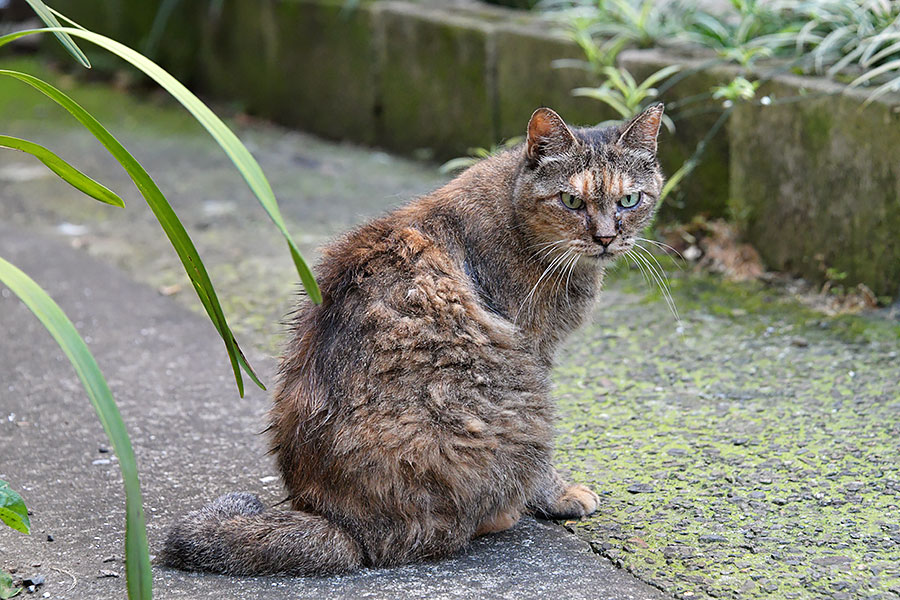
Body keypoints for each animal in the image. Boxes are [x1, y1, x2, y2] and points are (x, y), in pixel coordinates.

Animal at [158, 103, 664, 576]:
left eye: (630, 200)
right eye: (571, 201)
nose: (606, 237)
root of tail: (340, 523)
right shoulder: (535, 350)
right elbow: (543, 469)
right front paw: (558, 495)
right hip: (524, 398)